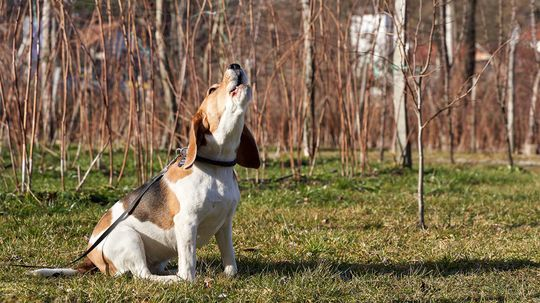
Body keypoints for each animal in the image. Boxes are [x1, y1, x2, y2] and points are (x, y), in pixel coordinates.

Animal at [32, 63, 260, 282]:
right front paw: (189, 279)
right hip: (130, 239)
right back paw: (172, 278)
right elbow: (188, 270)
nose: (235, 65)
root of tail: (92, 257)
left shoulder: (225, 223)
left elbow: (231, 263)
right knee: (144, 275)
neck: (216, 166)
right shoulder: (186, 223)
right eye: (212, 89)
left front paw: (228, 275)